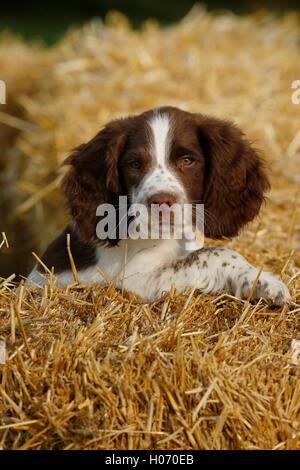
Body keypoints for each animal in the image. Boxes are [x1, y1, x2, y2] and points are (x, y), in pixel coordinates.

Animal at [27, 105, 290, 306]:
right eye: (134, 164)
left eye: (187, 161)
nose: (161, 202)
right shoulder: (135, 278)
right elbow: (212, 253)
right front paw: (266, 281)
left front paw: (260, 282)